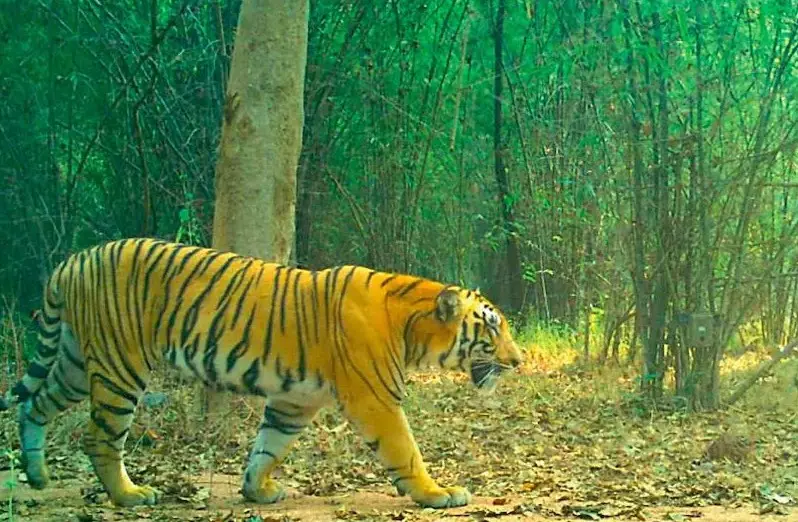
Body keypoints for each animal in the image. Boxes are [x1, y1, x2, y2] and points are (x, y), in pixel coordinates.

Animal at [1, 238, 523, 509]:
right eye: (492, 327)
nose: (518, 362)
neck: (413, 327)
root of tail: (74, 259)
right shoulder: (374, 398)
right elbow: (406, 451)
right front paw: (438, 493)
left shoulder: (295, 400)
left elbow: (268, 446)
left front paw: (257, 490)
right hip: (119, 366)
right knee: (100, 438)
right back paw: (130, 495)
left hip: (76, 362)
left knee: (35, 404)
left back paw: (37, 474)